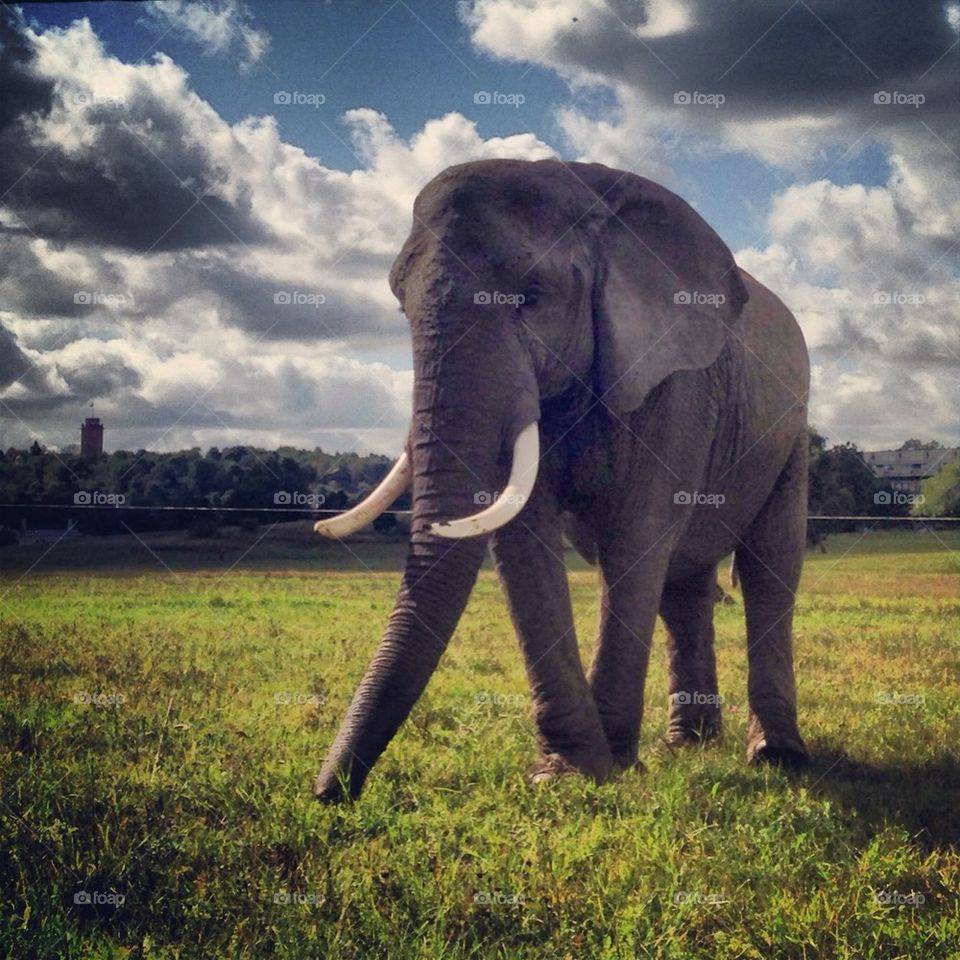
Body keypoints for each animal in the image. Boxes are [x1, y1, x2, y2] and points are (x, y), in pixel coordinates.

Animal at [312, 159, 808, 804]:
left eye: (532, 297)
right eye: (401, 307)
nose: (327, 795)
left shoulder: (676, 384)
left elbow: (637, 534)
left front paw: (607, 767)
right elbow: (526, 536)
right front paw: (570, 773)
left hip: (792, 434)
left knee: (770, 567)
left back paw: (776, 755)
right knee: (683, 587)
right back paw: (686, 747)